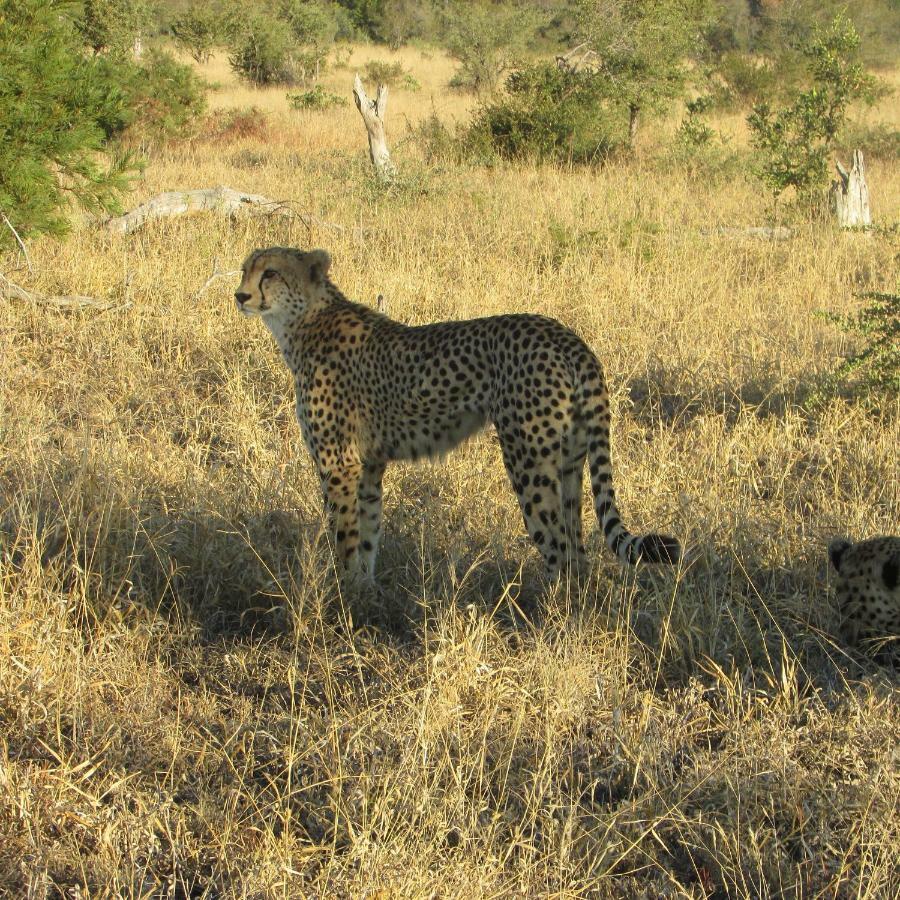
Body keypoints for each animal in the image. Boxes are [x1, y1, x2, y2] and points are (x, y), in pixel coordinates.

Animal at [236, 246, 680, 584]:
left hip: (528, 460)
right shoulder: (370, 464)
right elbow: (367, 533)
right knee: (576, 546)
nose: (240, 295)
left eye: (270, 272)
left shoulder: (338, 463)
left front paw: (343, 601)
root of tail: (566, 335)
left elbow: (344, 535)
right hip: (570, 460)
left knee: (557, 545)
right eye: (245, 269)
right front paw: (365, 592)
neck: (304, 321)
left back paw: (546, 623)